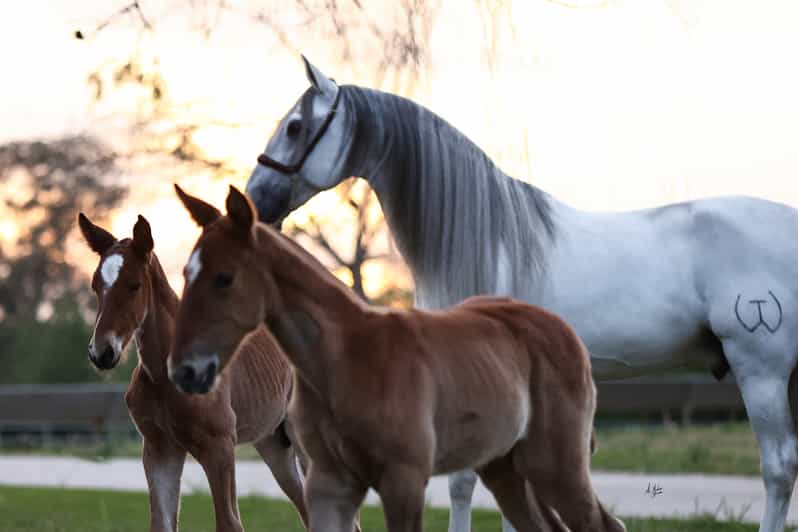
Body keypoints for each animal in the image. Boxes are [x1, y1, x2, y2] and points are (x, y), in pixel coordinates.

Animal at [78, 213, 308, 532]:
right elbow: (161, 523)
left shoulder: (219, 446)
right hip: (274, 443)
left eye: (135, 284)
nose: (101, 352)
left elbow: (229, 522)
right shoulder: (159, 448)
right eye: (95, 284)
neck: (164, 378)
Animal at [167, 184, 626, 532]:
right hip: (505, 468)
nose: (184, 371)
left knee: (603, 525)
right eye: (186, 273)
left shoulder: (403, 480)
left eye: (224, 278)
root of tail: (561, 328)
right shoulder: (329, 484)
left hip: (556, 466)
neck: (341, 361)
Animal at [245, 56, 798, 532]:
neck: (487, 241)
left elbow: (463, 484)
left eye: (295, 126)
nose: (255, 199)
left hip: (761, 370)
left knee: (778, 467)